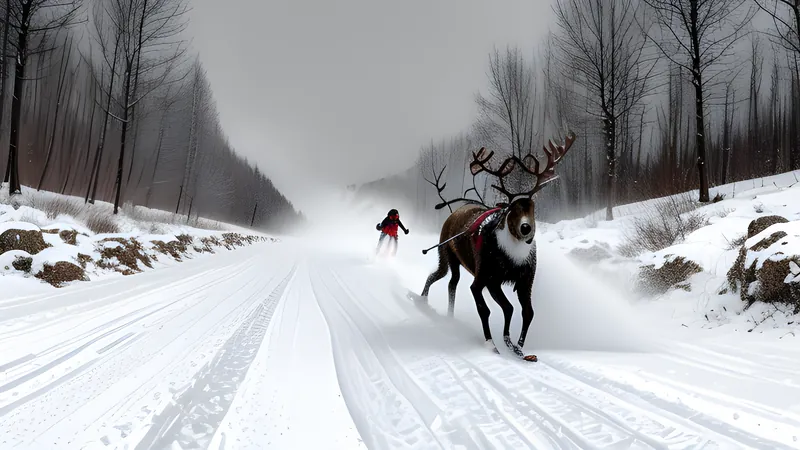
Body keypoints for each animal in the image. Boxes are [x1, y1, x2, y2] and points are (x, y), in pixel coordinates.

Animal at [416, 132, 576, 362]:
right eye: (511, 208)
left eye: (532, 207)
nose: (526, 228)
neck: (512, 259)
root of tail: (452, 213)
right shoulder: (485, 278)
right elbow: (489, 309)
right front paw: (493, 344)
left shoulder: (525, 279)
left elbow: (526, 311)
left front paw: (518, 347)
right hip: (446, 252)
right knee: (439, 275)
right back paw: (422, 302)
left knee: (452, 283)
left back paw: (449, 316)